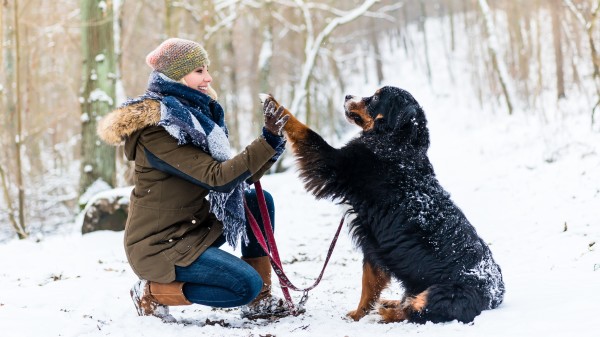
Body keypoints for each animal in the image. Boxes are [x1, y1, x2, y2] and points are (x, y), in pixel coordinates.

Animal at [264, 85, 504, 322]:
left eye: (375, 98)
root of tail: (496, 295)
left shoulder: (333, 163)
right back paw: (391, 302)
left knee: (416, 310)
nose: (347, 95)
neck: (396, 143)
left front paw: (274, 106)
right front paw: (357, 314)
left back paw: (388, 310)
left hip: (443, 292)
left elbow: (304, 130)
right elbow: (369, 283)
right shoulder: (373, 243)